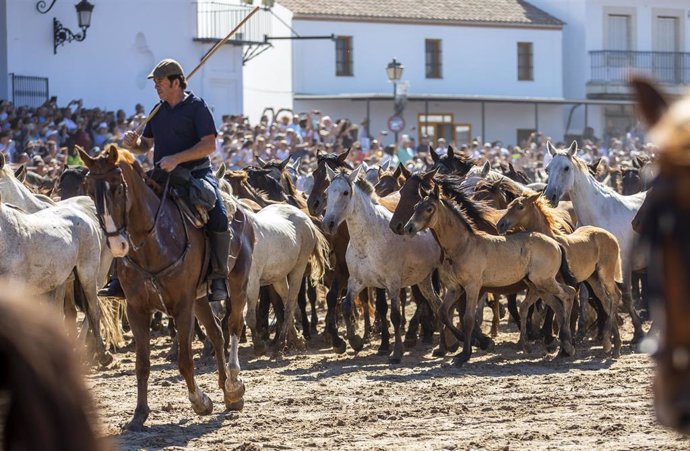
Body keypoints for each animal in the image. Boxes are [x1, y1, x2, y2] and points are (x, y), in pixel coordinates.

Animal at [79, 147, 245, 430]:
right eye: (89, 191)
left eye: (118, 189)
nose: (117, 244)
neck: (154, 244)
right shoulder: (137, 309)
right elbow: (142, 363)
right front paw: (139, 414)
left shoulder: (182, 307)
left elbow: (185, 360)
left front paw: (200, 401)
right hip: (200, 299)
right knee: (216, 334)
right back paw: (225, 387)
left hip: (239, 284)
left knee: (232, 327)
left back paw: (233, 386)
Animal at [320, 166, 438, 364]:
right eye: (327, 192)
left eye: (345, 192)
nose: (328, 224)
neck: (367, 239)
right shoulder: (356, 280)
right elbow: (345, 305)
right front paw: (353, 341)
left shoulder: (393, 282)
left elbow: (394, 315)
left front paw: (396, 352)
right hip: (422, 278)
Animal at [544, 141, 644, 342]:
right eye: (547, 169)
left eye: (566, 168)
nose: (550, 197)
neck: (601, 212)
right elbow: (584, 295)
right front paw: (583, 330)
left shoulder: (624, 264)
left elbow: (626, 296)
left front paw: (637, 331)